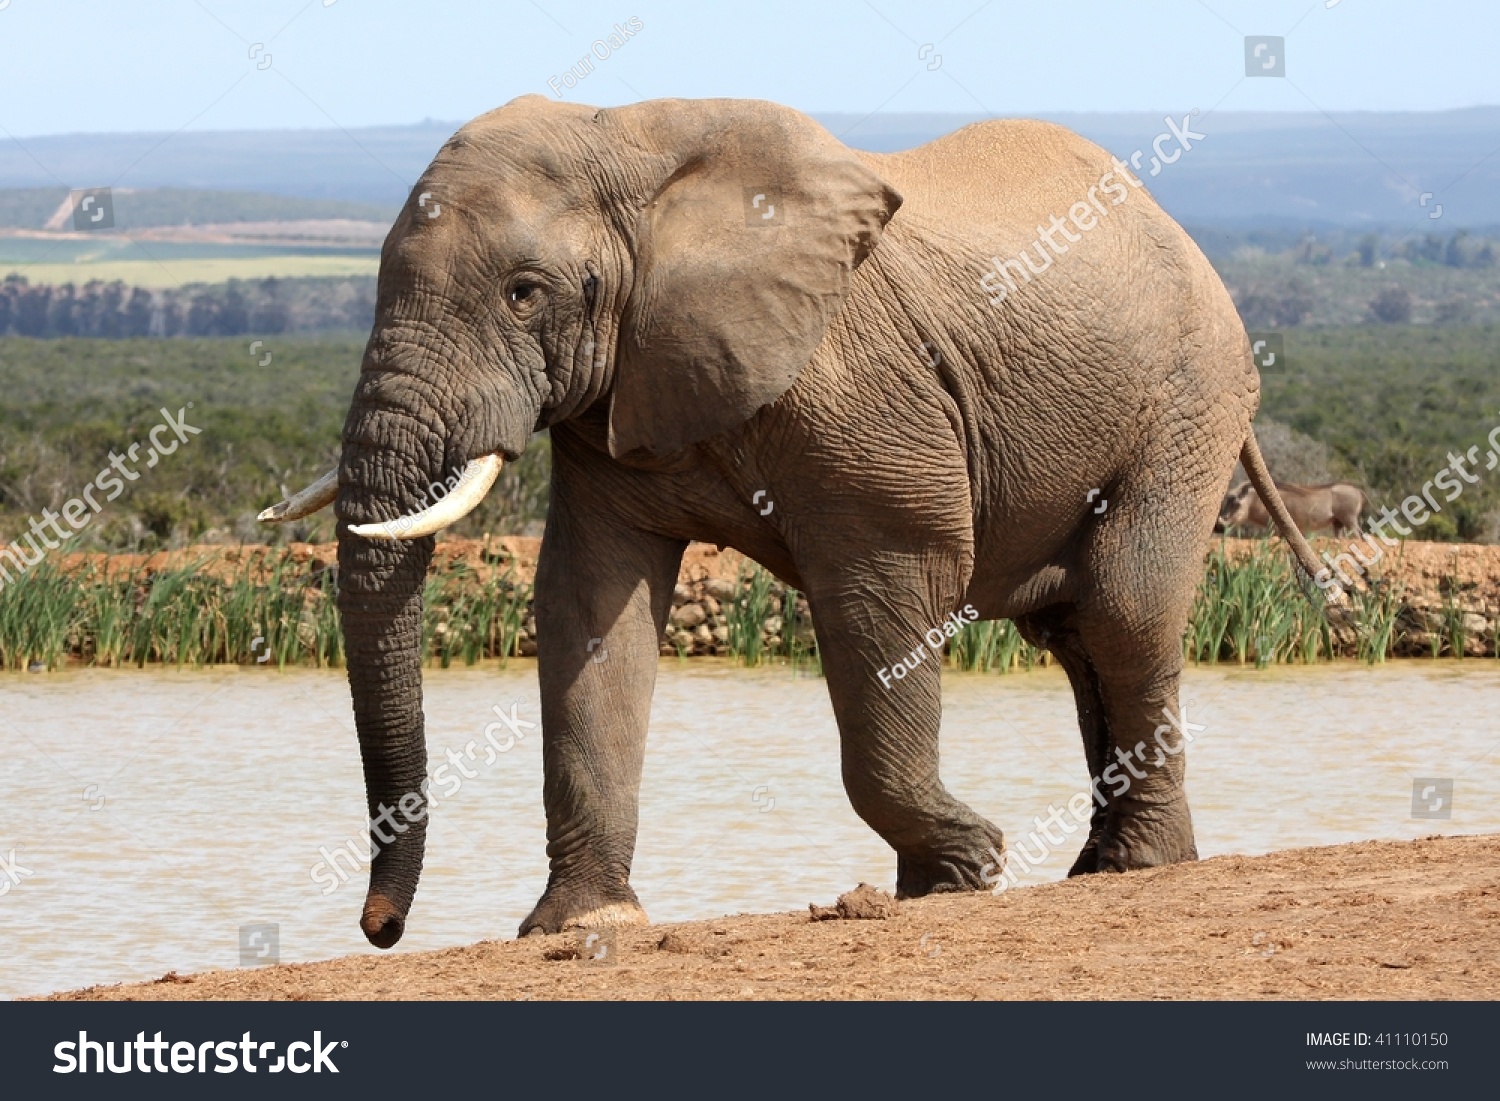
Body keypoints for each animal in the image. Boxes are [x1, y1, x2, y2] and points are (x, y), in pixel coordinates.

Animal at [261, 99, 1338, 954]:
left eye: (525, 293)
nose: (380, 928)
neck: (631, 148)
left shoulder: (861, 392)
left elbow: (887, 585)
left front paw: (964, 868)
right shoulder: (622, 387)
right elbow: (588, 606)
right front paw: (579, 924)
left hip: (1189, 398)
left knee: (1123, 614)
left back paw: (1134, 868)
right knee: (1073, 634)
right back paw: (1103, 864)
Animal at [1212, 480, 1368, 537]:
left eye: (1236, 503)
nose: (1217, 527)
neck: (1253, 501)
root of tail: (1358, 490)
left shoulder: (1274, 526)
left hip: (1349, 519)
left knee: (1359, 535)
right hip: (1338, 523)